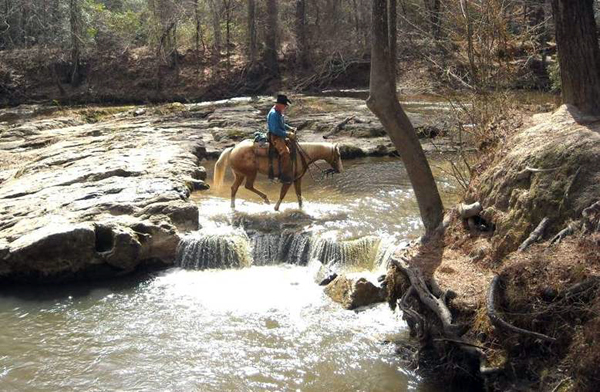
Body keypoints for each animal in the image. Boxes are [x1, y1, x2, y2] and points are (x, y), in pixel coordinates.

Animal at [213, 139, 342, 210]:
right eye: (339, 155)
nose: (341, 169)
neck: (301, 155)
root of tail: (233, 148)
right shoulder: (288, 180)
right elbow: (283, 194)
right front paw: (276, 208)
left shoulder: (297, 179)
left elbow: (299, 194)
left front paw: (301, 208)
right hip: (250, 173)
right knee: (248, 186)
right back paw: (266, 199)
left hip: (240, 174)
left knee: (234, 188)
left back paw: (233, 206)